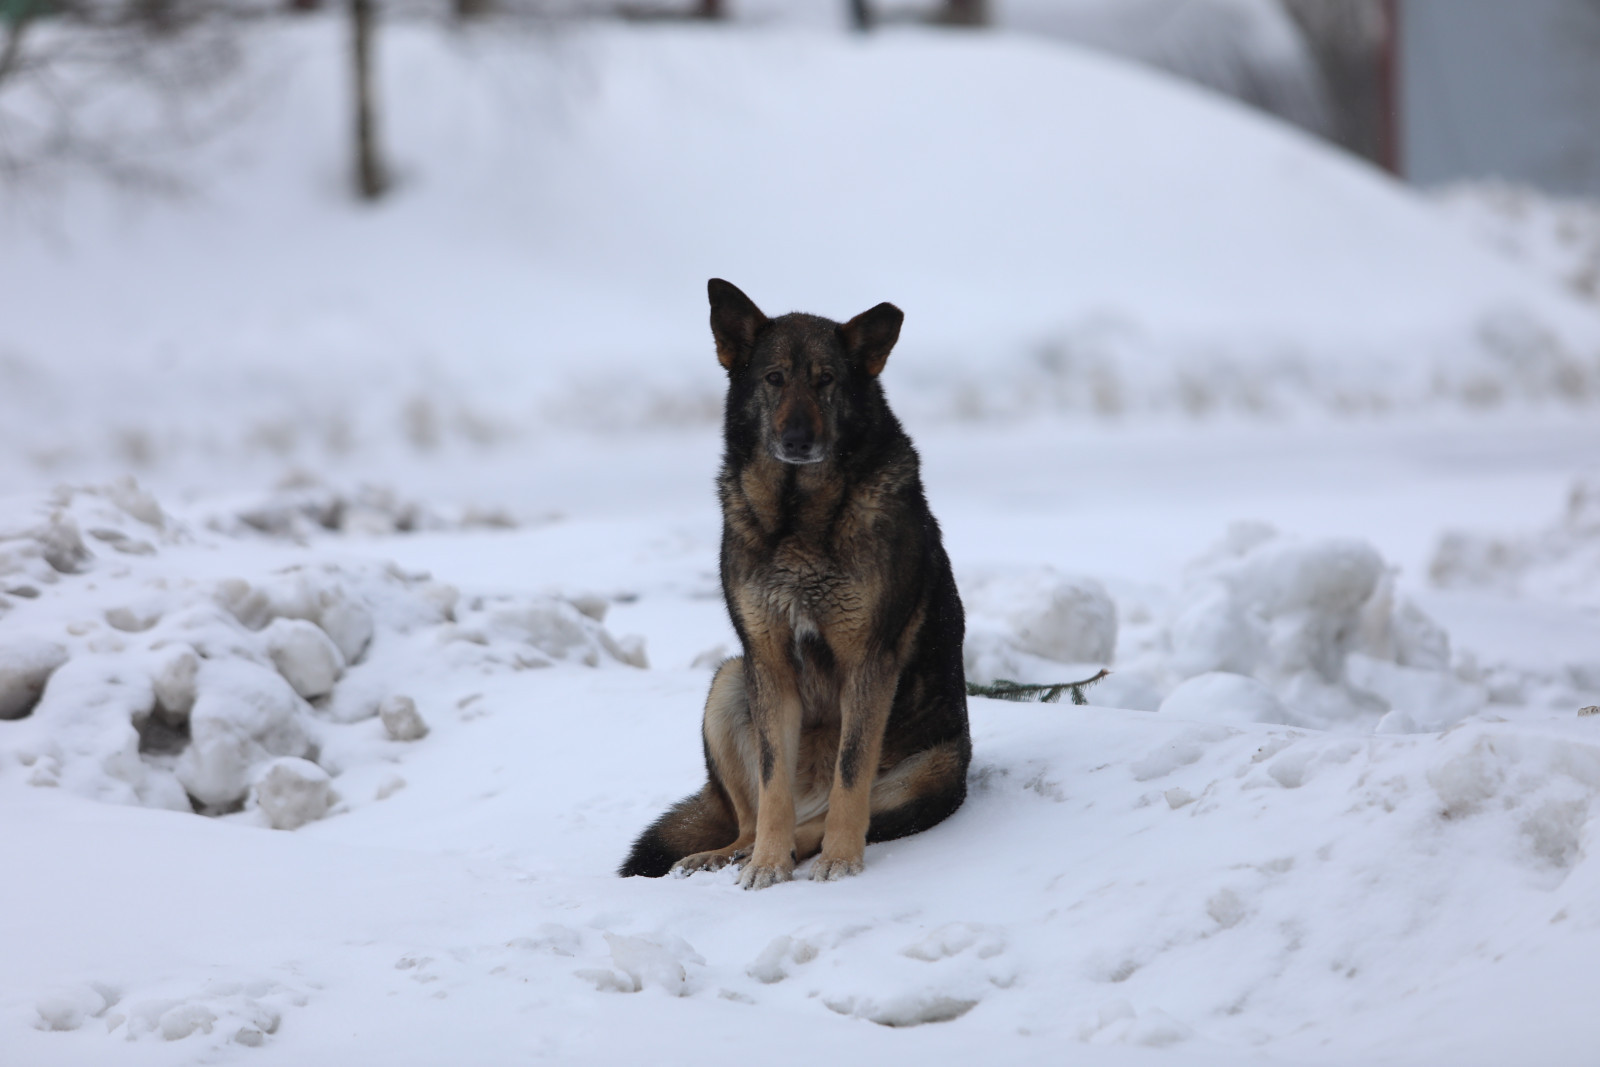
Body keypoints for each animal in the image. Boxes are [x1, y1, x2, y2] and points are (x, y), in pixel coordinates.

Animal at [614, 279, 966, 889]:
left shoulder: (868, 662)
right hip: (731, 681)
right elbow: (772, 785)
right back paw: (729, 855)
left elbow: (851, 777)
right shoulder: (768, 659)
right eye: (774, 378)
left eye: (826, 380)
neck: (798, 516)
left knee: (832, 814)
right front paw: (767, 865)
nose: (797, 439)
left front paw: (842, 859)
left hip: (927, 773)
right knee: (750, 818)